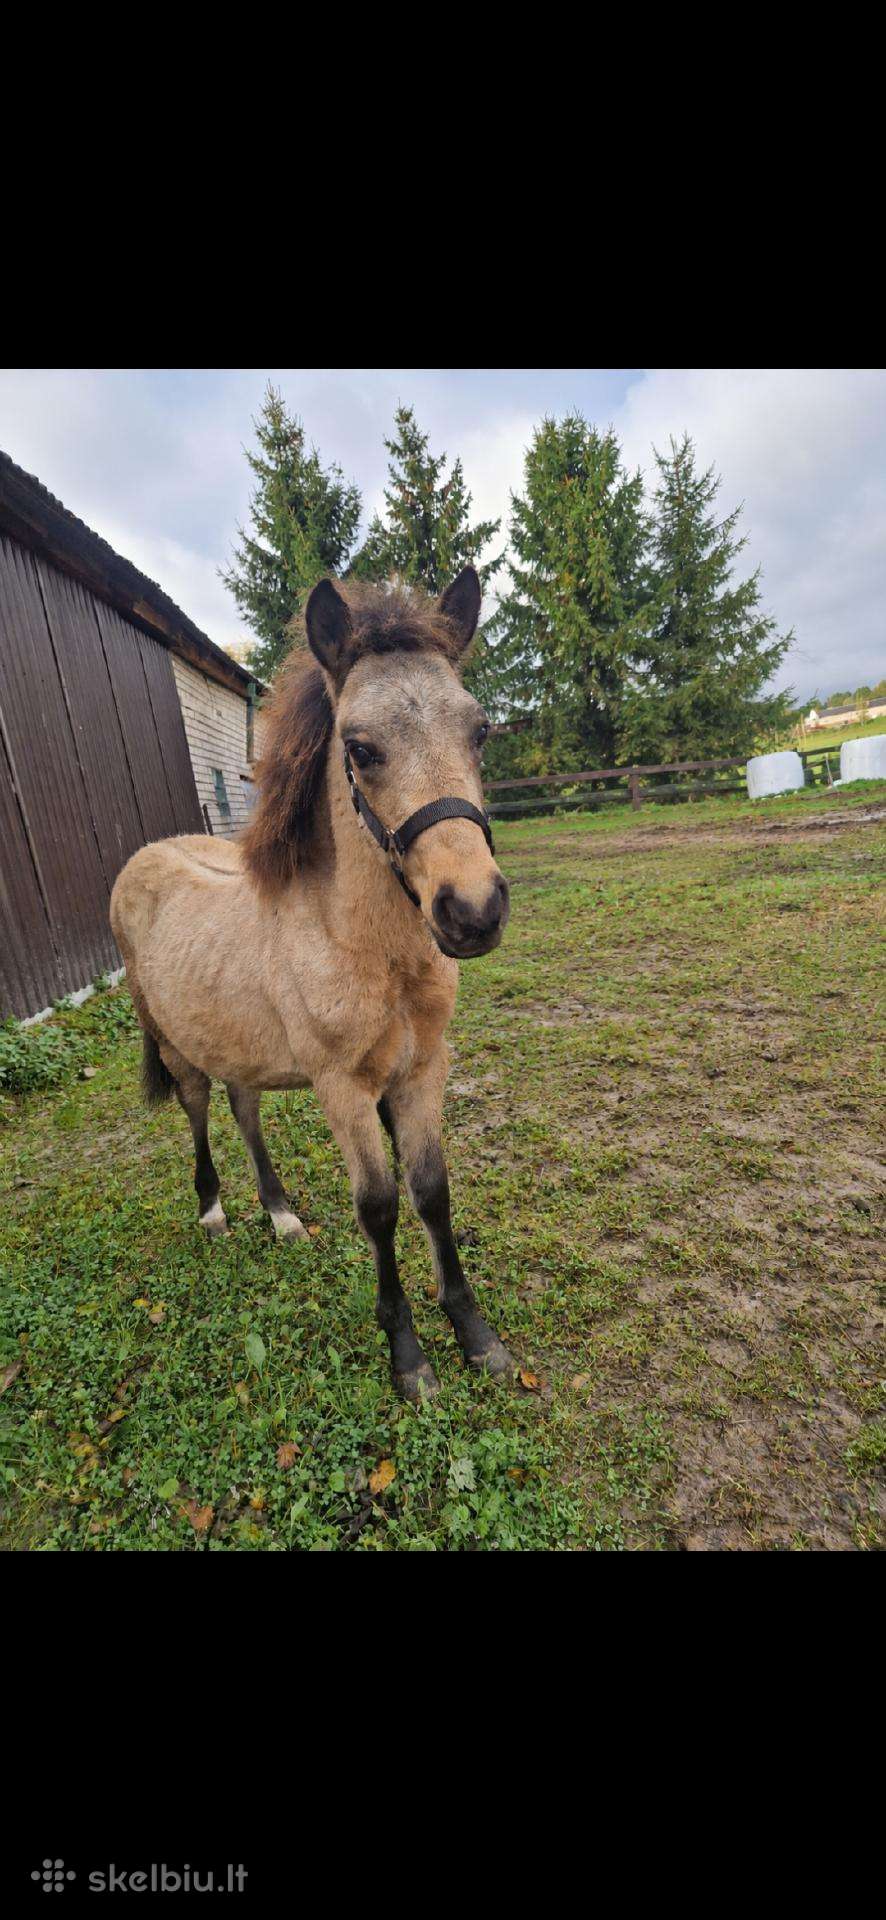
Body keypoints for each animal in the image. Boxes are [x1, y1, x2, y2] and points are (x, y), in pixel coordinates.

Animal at [109, 565, 515, 1400]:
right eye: (359, 748)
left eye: (480, 731)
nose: (473, 911)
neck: (366, 949)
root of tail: (143, 860)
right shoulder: (342, 1088)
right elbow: (380, 1207)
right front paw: (408, 1357)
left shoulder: (422, 1071)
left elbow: (432, 1190)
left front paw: (474, 1334)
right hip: (173, 1042)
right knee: (200, 1109)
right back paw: (215, 1212)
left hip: (235, 1041)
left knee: (244, 1108)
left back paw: (282, 1215)